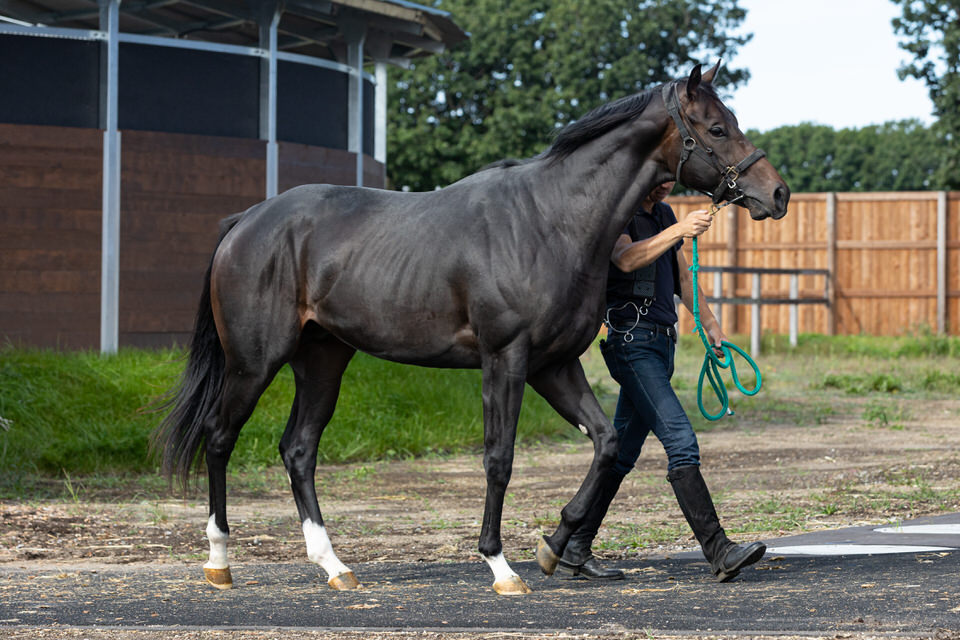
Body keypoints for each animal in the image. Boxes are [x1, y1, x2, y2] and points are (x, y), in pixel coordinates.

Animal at [156, 61, 788, 596]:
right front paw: (501, 565)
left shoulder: (553, 366)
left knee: (299, 450)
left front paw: (556, 545)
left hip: (323, 358)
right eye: (717, 127)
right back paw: (219, 562)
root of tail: (247, 221)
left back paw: (334, 567)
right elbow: (499, 458)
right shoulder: (505, 360)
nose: (776, 193)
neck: (549, 220)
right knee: (219, 437)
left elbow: (607, 444)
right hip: (254, 362)